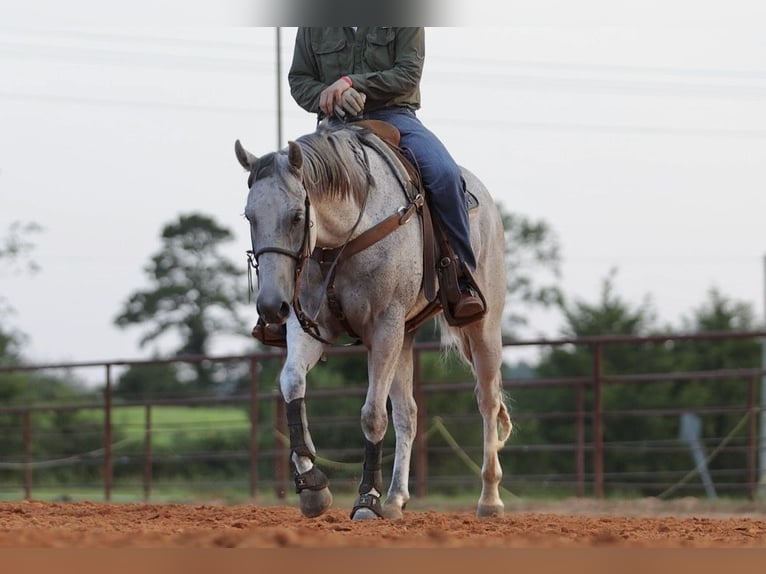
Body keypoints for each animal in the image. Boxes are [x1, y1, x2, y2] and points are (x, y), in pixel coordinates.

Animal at [235, 122, 512, 520]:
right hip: (405, 337)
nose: (272, 306)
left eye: (297, 216)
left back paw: (489, 499)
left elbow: (372, 415)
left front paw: (367, 499)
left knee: (487, 401)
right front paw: (312, 486)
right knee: (408, 413)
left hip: (480, 328)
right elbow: (291, 383)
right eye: (249, 217)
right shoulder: (310, 326)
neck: (345, 237)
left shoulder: (384, 327)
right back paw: (395, 499)